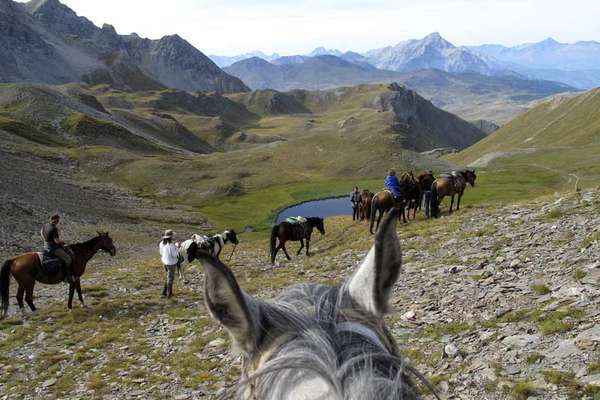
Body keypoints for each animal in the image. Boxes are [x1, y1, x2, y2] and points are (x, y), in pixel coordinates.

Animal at [197, 209, 436, 400]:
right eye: (320, 224)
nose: (322, 231)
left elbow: (304, 244)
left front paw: (302, 252)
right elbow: (305, 244)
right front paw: (302, 253)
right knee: (279, 248)